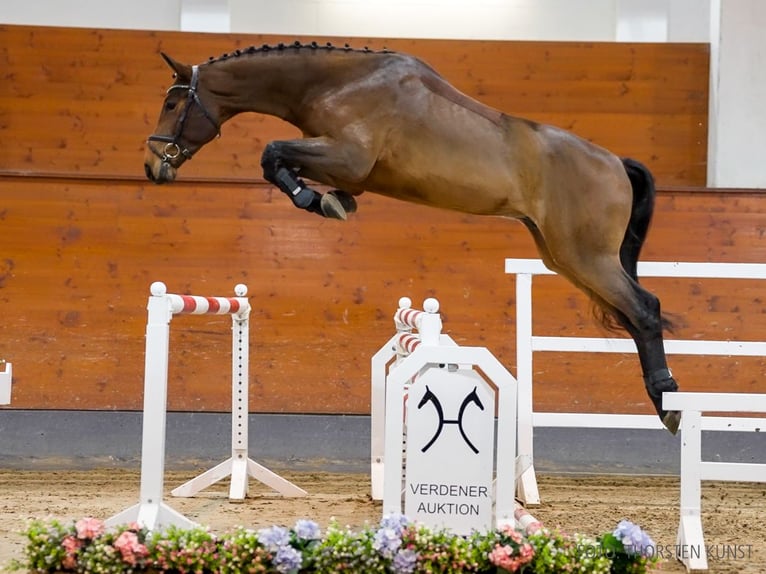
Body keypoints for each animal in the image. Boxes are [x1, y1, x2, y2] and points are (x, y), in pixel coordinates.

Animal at [144, 40, 684, 434]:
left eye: (172, 102)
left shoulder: (348, 157)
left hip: (586, 256)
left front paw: (316, 201)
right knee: (633, 316)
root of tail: (615, 162)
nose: (152, 167)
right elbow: (285, 161)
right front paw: (333, 201)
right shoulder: (349, 168)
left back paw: (669, 402)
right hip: (562, 258)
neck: (338, 83)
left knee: (645, 309)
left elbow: (272, 154)